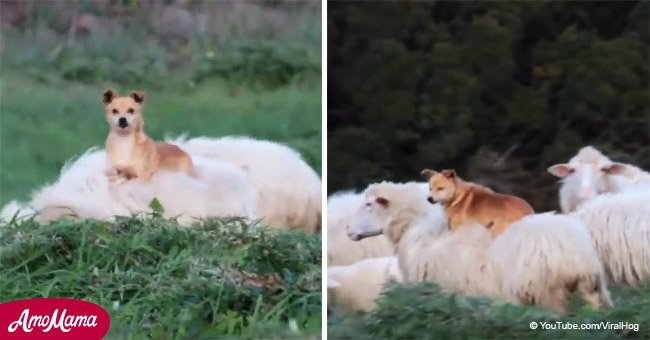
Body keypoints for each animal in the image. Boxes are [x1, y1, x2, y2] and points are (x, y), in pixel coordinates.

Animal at [346, 182, 612, 312]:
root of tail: (575, 255)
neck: (421, 231)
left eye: (369, 204)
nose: (348, 230)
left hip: (548, 296)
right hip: (593, 293)